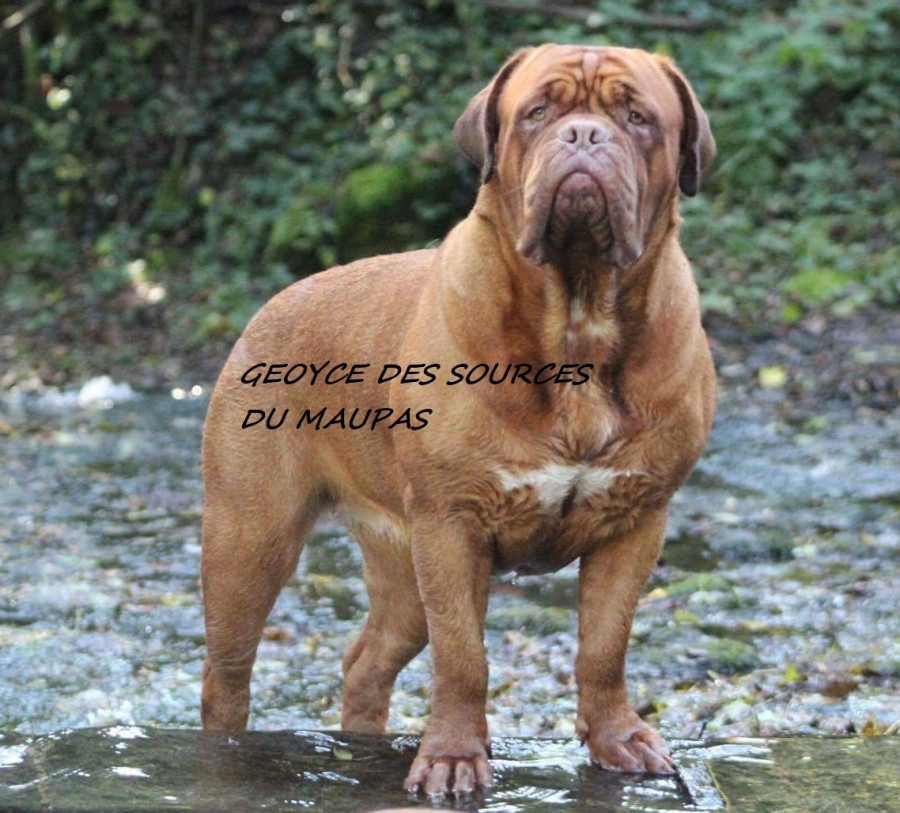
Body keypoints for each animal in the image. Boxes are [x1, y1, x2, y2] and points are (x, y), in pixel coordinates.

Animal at [200, 43, 716, 797]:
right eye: (537, 111)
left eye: (638, 117)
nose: (584, 136)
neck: (577, 316)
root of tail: (272, 303)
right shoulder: (451, 525)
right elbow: (462, 655)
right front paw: (451, 757)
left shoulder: (636, 522)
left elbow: (605, 645)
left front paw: (618, 738)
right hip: (251, 539)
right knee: (228, 671)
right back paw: (224, 754)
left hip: (398, 562)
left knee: (367, 662)